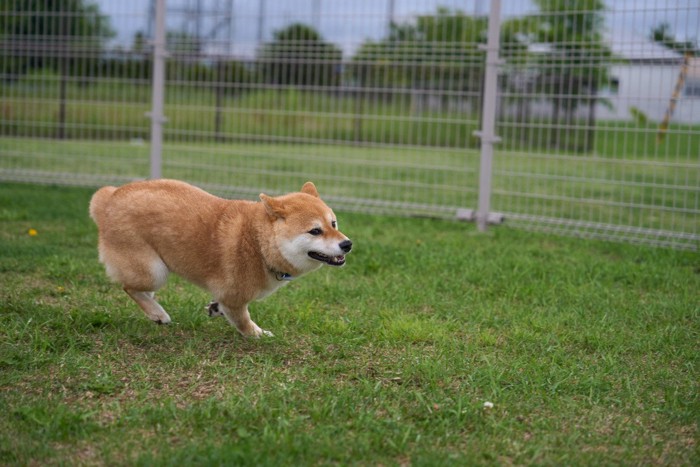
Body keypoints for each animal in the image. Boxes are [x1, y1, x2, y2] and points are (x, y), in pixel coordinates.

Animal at [89, 178, 350, 336]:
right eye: (315, 231)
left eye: (333, 223)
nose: (347, 244)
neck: (258, 243)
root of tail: (109, 198)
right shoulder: (235, 298)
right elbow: (244, 321)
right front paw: (258, 334)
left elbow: (222, 306)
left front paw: (215, 308)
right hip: (154, 272)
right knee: (129, 287)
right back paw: (157, 313)